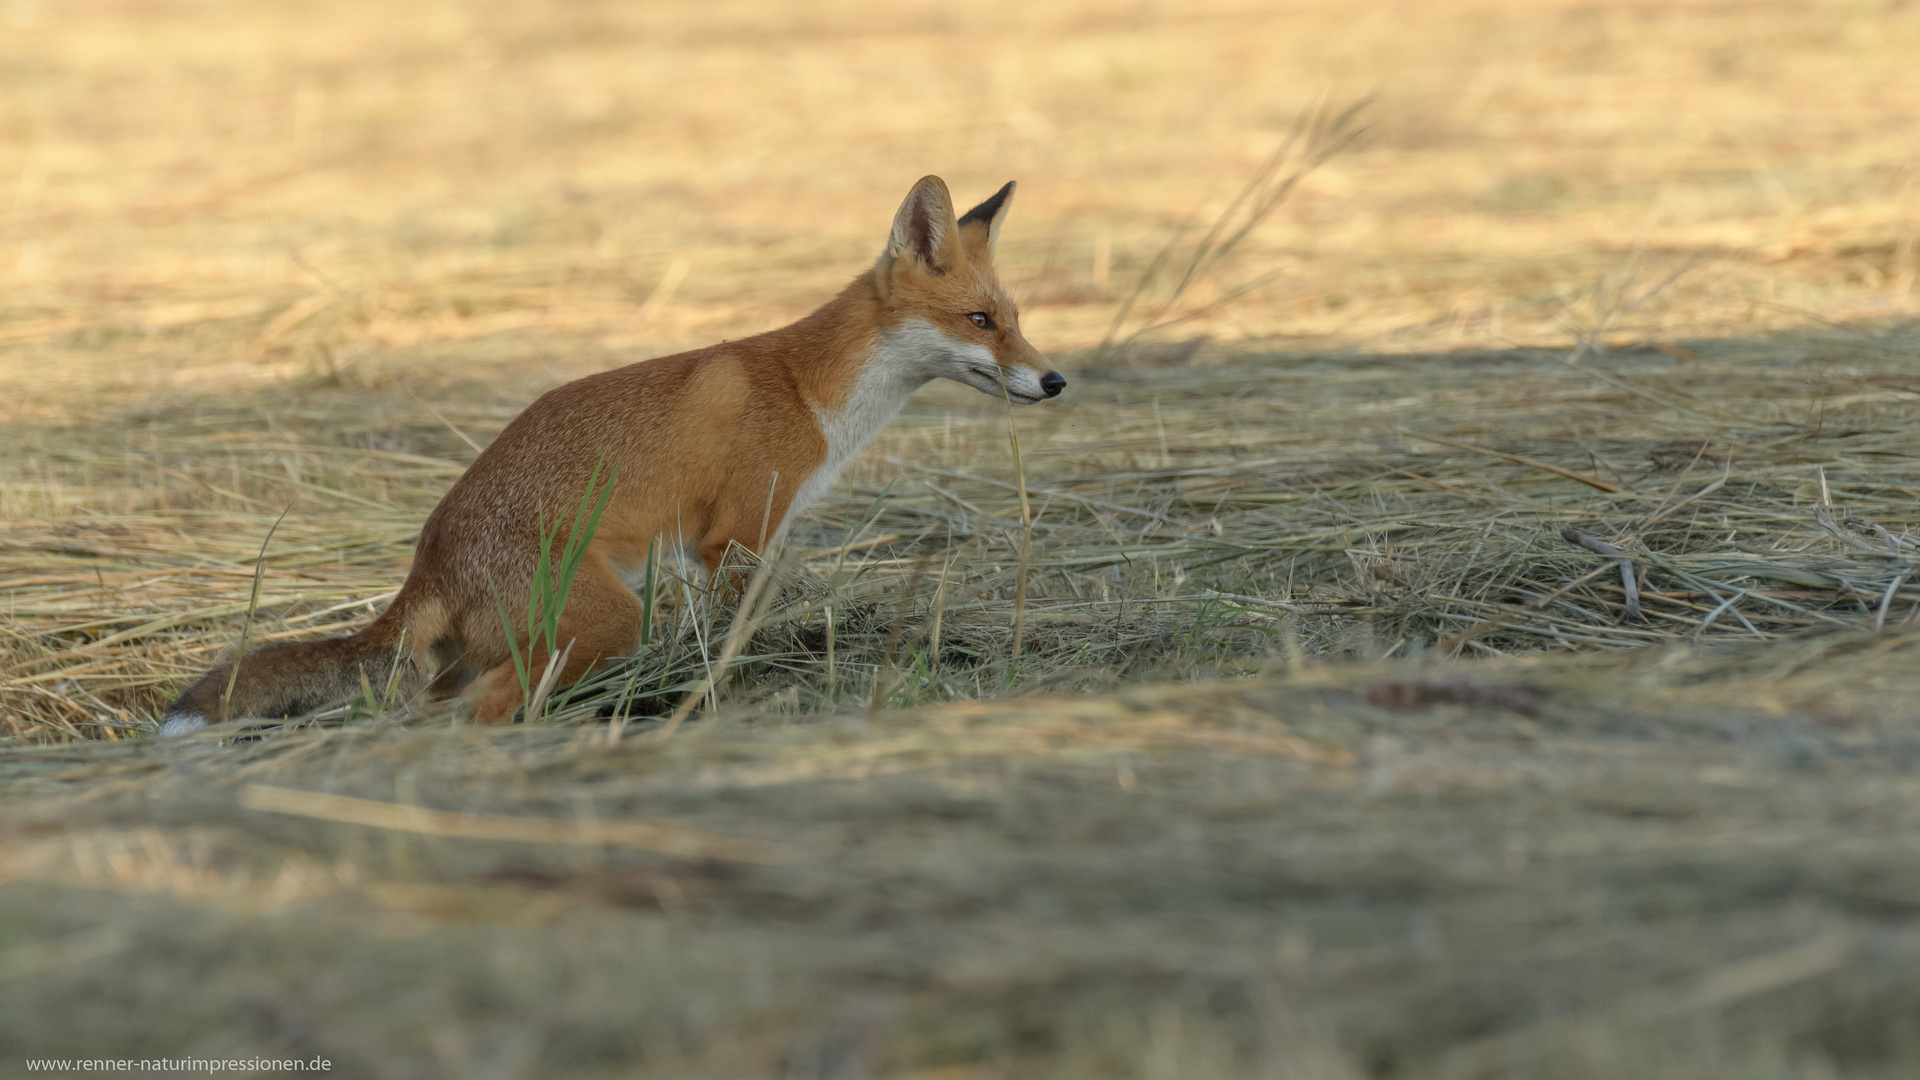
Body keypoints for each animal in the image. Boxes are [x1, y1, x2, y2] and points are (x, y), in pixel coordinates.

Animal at [161, 176, 1067, 730]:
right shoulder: (734, 536)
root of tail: (429, 555)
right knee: (472, 712)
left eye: (1015, 319)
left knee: (427, 703)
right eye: (980, 321)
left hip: (514, 647)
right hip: (603, 625)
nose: (1056, 379)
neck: (809, 388)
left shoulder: (713, 551)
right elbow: (734, 636)